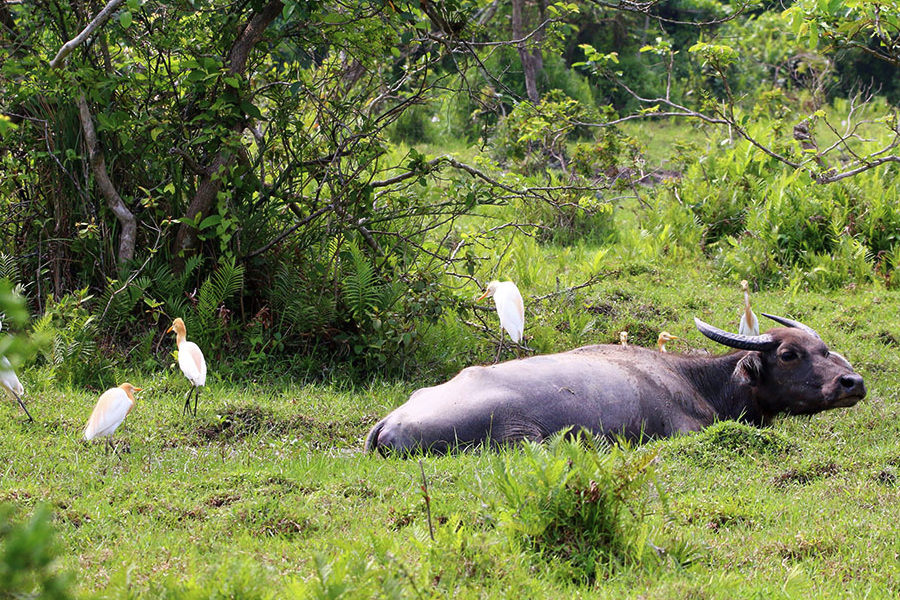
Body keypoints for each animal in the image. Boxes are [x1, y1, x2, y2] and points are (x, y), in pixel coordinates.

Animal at [366, 316, 864, 452]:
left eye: (824, 348)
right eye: (789, 354)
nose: (853, 382)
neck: (697, 380)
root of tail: (390, 423)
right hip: (520, 436)